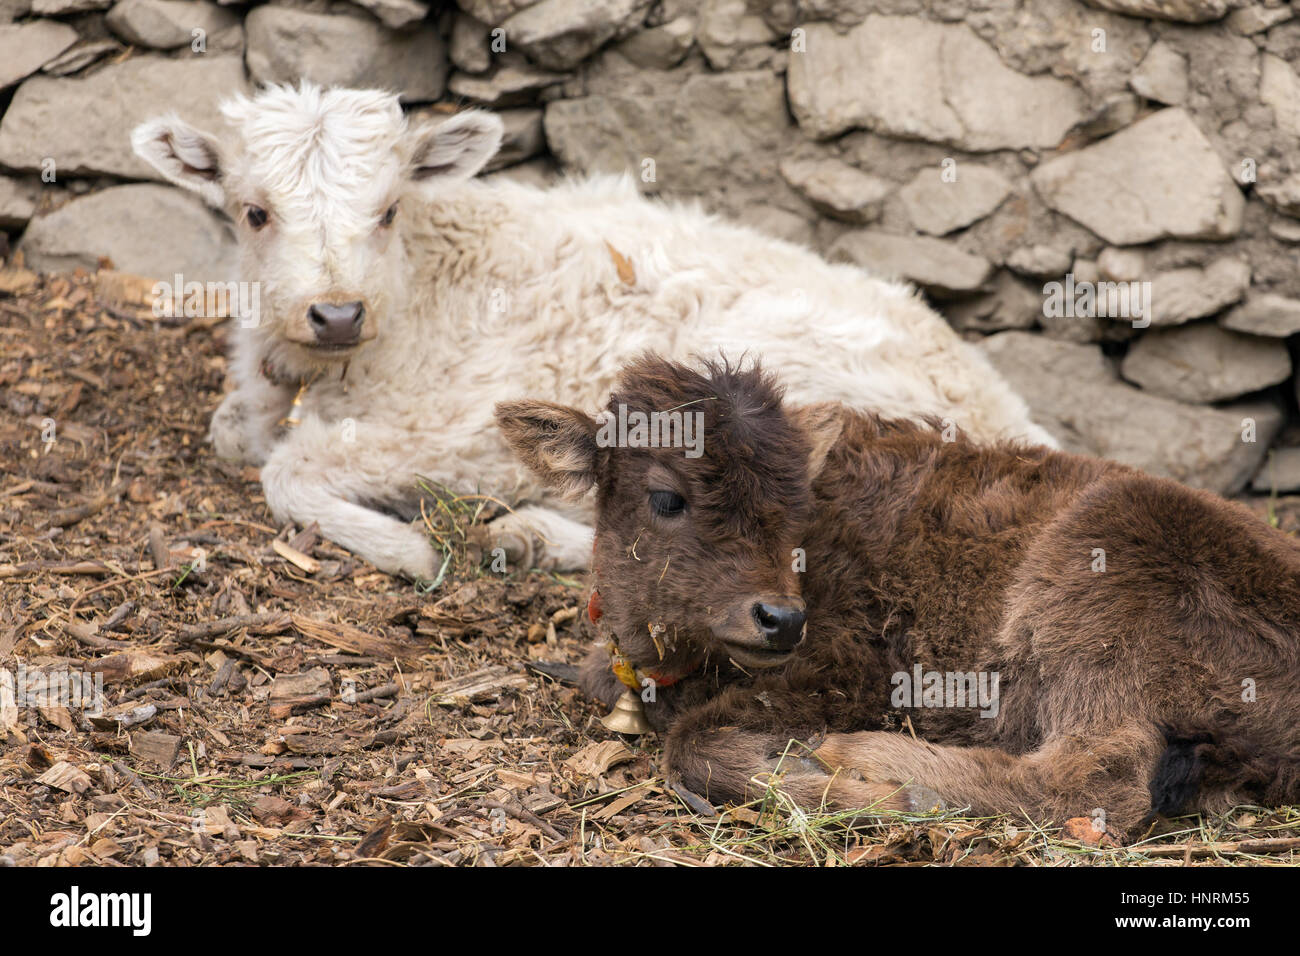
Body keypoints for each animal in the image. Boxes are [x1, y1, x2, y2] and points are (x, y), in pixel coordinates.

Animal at [493, 356, 1300, 832]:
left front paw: (825, 772)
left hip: (1102, 572)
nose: (780, 619)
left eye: (796, 506)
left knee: (1094, 782)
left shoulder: (850, 667)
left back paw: (865, 760)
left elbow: (694, 743)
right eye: (666, 497)